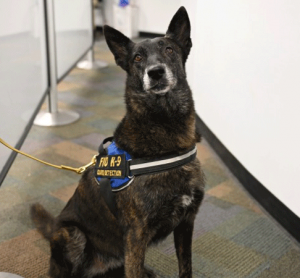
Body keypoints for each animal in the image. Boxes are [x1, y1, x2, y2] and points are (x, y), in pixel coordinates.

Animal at [31, 6, 205, 278]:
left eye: (169, 49)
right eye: (137, 58)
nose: (155, 72)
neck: (166, 129)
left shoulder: (186, 222)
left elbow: (186, 267)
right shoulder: (136, 235)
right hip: (72, 234)